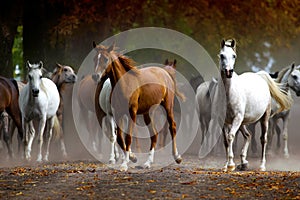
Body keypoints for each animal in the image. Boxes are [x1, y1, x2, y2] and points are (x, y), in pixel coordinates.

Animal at [219, 39, 292, 172]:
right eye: (222, 55)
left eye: (234, 55)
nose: (228, 72)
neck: (229, 93)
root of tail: (259, 76)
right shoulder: (224, 122)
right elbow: (226, 141)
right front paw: (226, 165)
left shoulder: (237, 118)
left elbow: (231, 136)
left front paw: (231, 165)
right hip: (242, 123)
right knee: (248, 136)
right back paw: (243, 163)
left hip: (264, 118)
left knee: (263, 139)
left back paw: (261, 166)